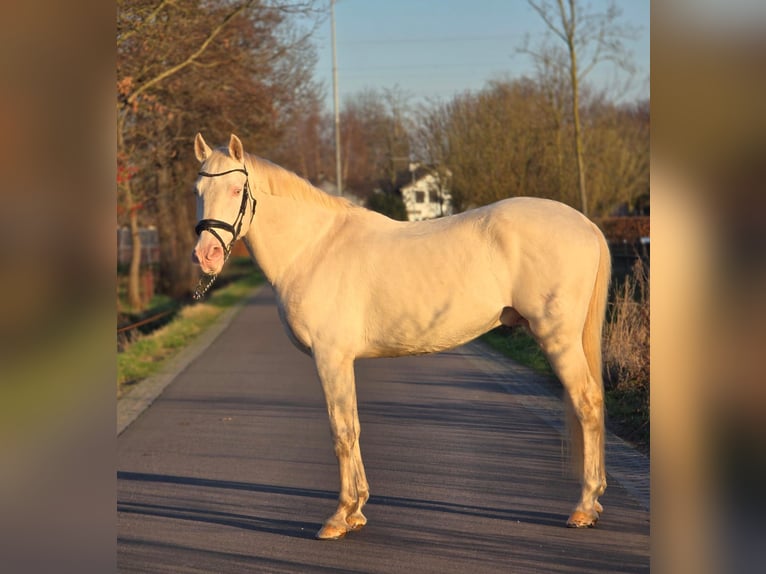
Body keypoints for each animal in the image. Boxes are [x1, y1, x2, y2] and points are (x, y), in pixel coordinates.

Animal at [191, 133, 611, 540]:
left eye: (236, 189)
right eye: (198, 189)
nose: (206, 255)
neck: (314, 248)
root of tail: (585, 224)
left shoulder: (330, 358)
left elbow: (341, 431)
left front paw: (340, 516)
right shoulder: (342, 361)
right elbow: (354, 427)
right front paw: (357, 511)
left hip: (558, 337)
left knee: (587, 402)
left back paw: (584, 508)